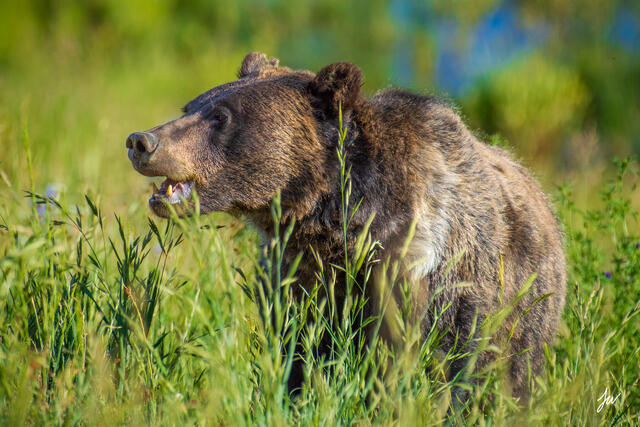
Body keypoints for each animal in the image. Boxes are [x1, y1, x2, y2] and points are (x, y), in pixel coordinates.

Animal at [126, 52, 566, 400]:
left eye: (221, 116)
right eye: (190, 107)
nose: (141, 141)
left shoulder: (426, 275)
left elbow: (417, 360)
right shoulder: (294, 274)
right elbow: (297, 350)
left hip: (525, 316)